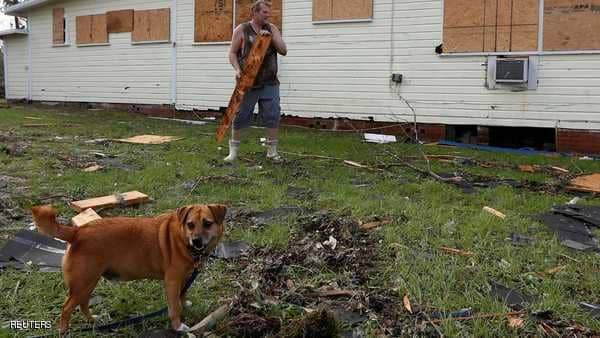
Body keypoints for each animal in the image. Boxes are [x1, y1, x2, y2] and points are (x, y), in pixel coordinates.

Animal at [28, 205, 225, 334]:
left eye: (207, 223)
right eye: (190, 224)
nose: (196, 241)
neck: (181, 237)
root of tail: (77, 232)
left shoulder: (183, 278)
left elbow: (182, 295)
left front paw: (184, 303)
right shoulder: (172, 281)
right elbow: (174, 307)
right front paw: (178, 326)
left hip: (88, 282)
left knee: (83, 304)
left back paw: (93, 321)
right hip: (83, 282)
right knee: (67, 308)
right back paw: (64, 330)